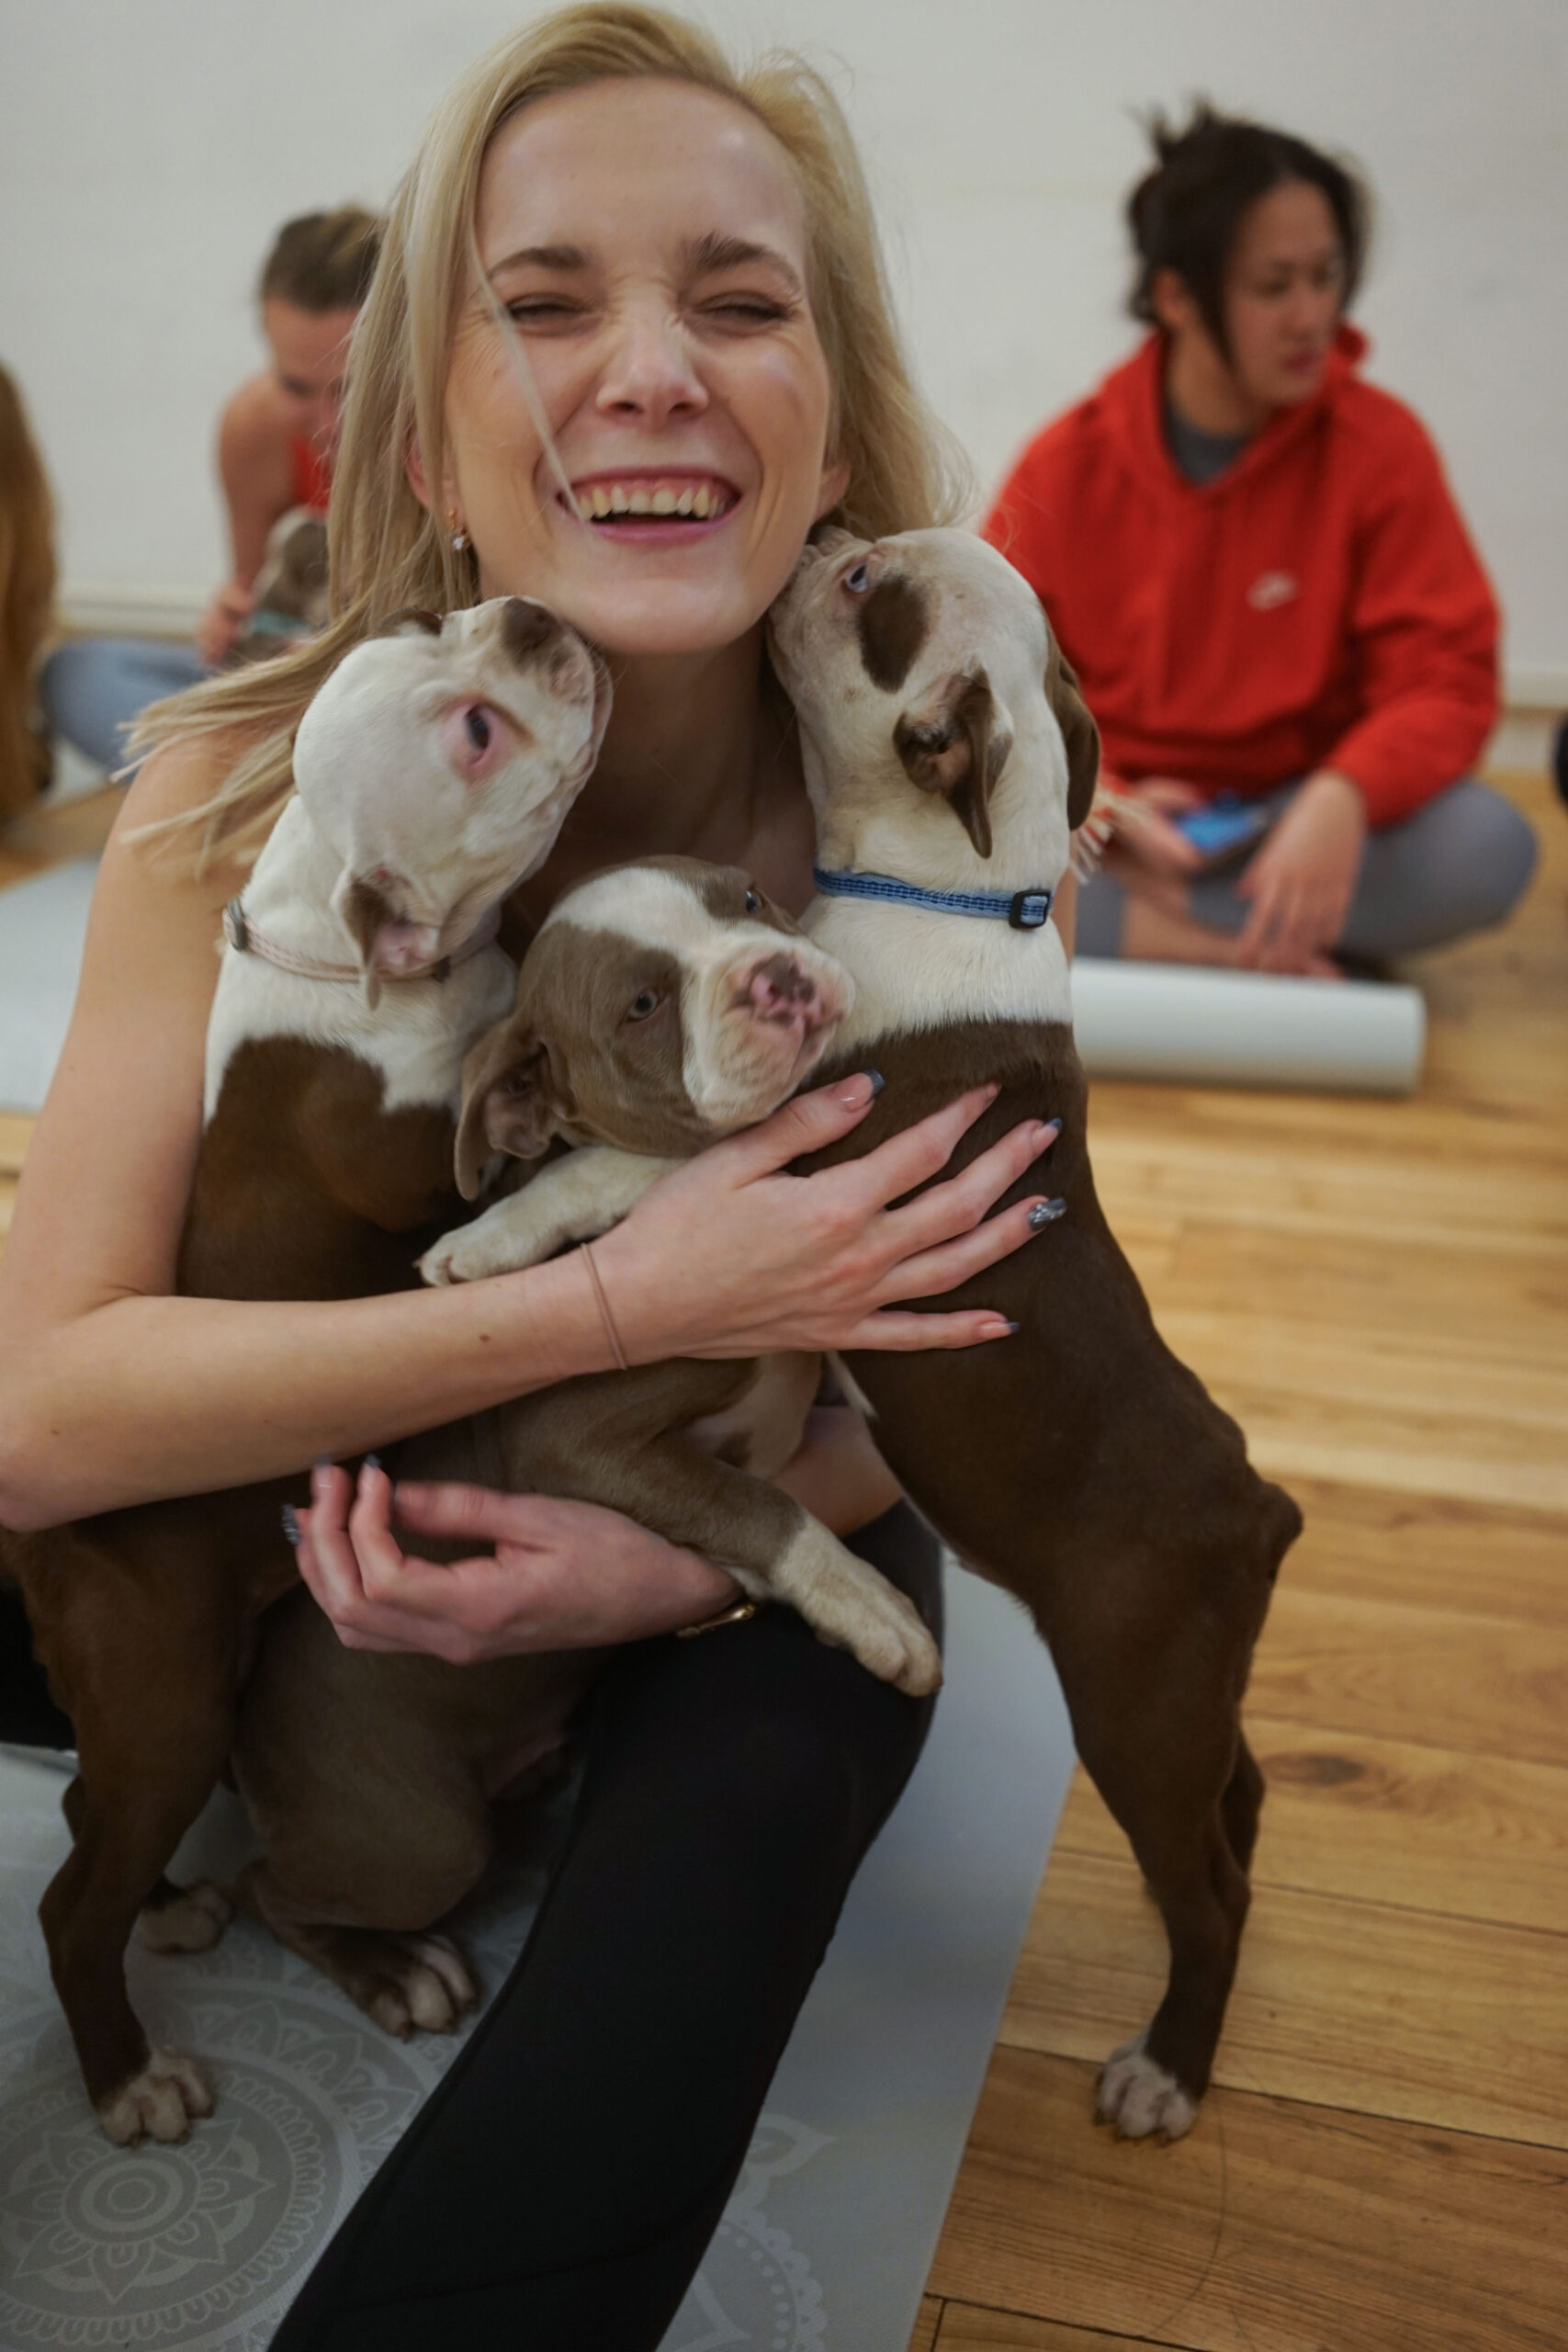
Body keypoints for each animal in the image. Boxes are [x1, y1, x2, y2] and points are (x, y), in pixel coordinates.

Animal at [3, 597, 606, 2144]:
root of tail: (39, 1547)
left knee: (95, 1824)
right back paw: (130, 2071)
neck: (332, 943)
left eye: (438, 621)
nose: (528, 612)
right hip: (166, 1693)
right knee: (68, 1901)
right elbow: (488, 1161)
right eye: (475, 732)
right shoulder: (420, 1170)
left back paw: (166, 1903)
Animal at [220, 855, 944, 2031]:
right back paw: (394, 1970)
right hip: (420, 1838)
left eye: (747, 899)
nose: (780, 976)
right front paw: (868, 1605)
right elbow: (758, 1500)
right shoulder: (569, 1444)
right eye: (642, 1007)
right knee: (264, 1888)